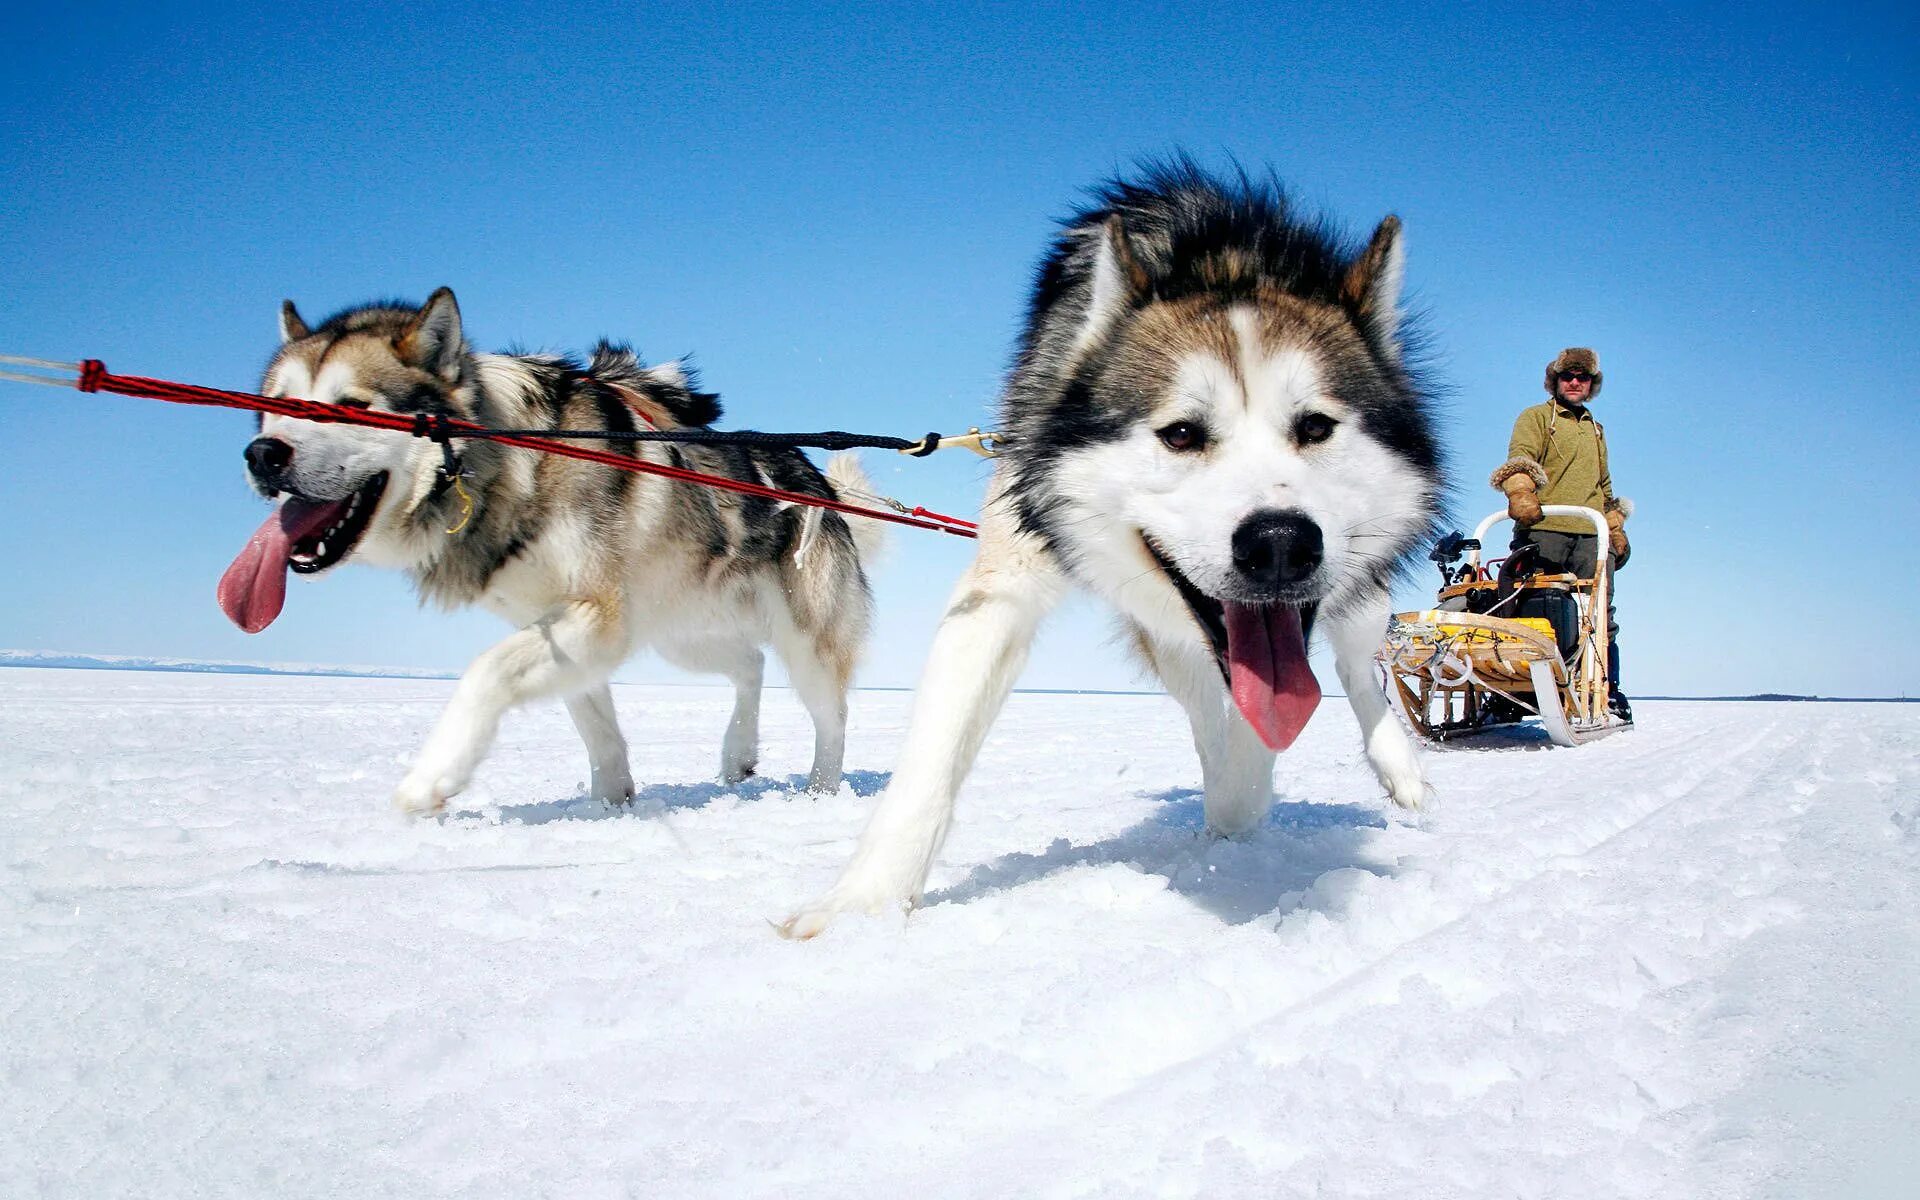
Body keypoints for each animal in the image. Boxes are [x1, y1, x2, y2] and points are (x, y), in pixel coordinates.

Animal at [220, 289, 879, 814]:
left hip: (802, 639)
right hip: (676, 629)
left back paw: (821, 791)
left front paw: (433, 776)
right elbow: (593, 722)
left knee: (833, 716)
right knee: (749, 663)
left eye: (351, 407)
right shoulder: (564, 626)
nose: (262, 454)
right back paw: (737, 752)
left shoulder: (595, 617)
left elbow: (486, 671)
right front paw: (610, 803)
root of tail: (819, 483)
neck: (513, 463)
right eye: (276, 403)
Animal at [779, 159, 1443, 936]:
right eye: (1180, 433)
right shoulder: (1001, 587)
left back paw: (1396, 768)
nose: (1279, 544)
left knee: (1355, 667)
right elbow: (931, 762)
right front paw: (862, 904)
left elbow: (1281, 718)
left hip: (1354, 593)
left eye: (1315, 427)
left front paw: (1250, 801)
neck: (1223, 256)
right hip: (1167, 636)